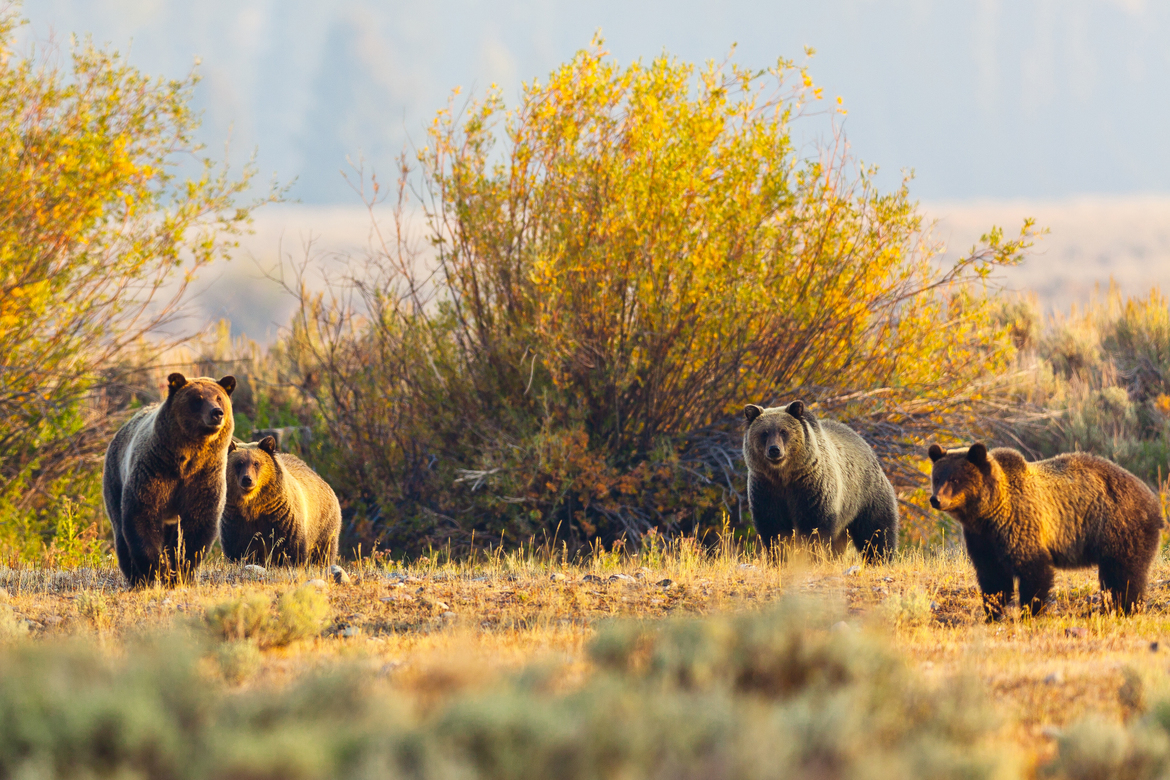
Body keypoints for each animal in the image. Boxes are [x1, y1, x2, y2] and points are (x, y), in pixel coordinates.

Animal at [103, 373, 236, 587]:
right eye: (197, 399)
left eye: (219, 397)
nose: (217, 413)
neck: (186, 458)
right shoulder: (154, 471)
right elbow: (141, 516)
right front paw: (157, 570)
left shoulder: (203, 478)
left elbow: (196, 527)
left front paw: (181, 571)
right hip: (115, 477)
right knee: (120, 531)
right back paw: (134, 577)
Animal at [219, 436, 341, 566]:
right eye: (239, 463)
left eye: (256, 463)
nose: (247, 479)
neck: (253, 504)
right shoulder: (236, 520)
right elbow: (238, 548)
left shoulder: (280, 516)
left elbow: (291, 546)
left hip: (323, 524)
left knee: (323, 551)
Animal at [743, 400, 899, 563]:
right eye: (764, 433)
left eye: (783, 431)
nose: (774, 450)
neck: (784, 475)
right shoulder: (766, 488)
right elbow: (774, 528)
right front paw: (779, 559)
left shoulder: (811, 488)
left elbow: (814, 527)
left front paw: (813, 558)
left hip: (866, 497)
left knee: (876, 531)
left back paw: (880, 559)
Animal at [928, 442, 1163, 619]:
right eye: (937, 478)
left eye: (955, 479)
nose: (935, 499)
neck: (989, 511)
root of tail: (1152, 499)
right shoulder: (982, 538)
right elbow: (993, 576)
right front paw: (993, 612)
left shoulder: (1020, 523)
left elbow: (1033, 569)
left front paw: (1030, 612)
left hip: (1118, 525)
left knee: (1124, 573)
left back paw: (1126, 609)